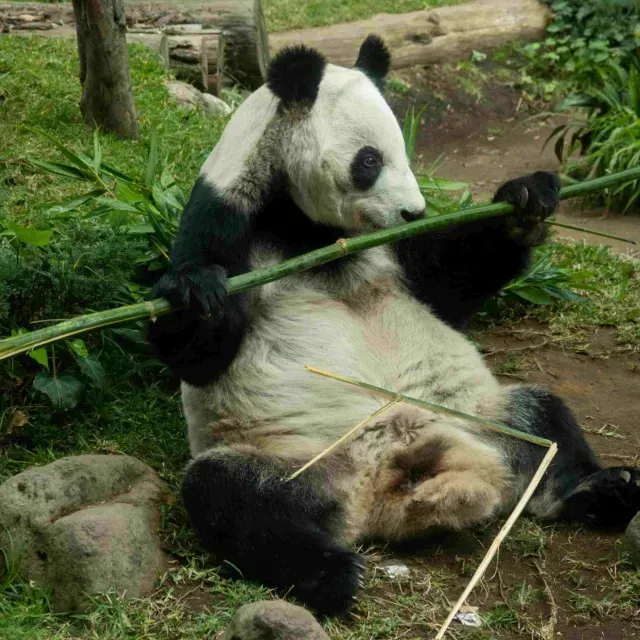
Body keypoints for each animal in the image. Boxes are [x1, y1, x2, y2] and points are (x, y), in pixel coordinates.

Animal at [148, 35, 640, 616]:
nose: (413, 211)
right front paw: (196, 294)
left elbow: (448, 283)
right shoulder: (226, 216)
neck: (309, 228)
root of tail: (387, 488)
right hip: (295, 459)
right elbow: (201, 356)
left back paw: (600, 490)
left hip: (482, 415)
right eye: (369, 161)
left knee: (546, 420)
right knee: (228, 497)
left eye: (407, 153)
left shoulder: (395, 252)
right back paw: (331, 573)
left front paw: (525, 202)